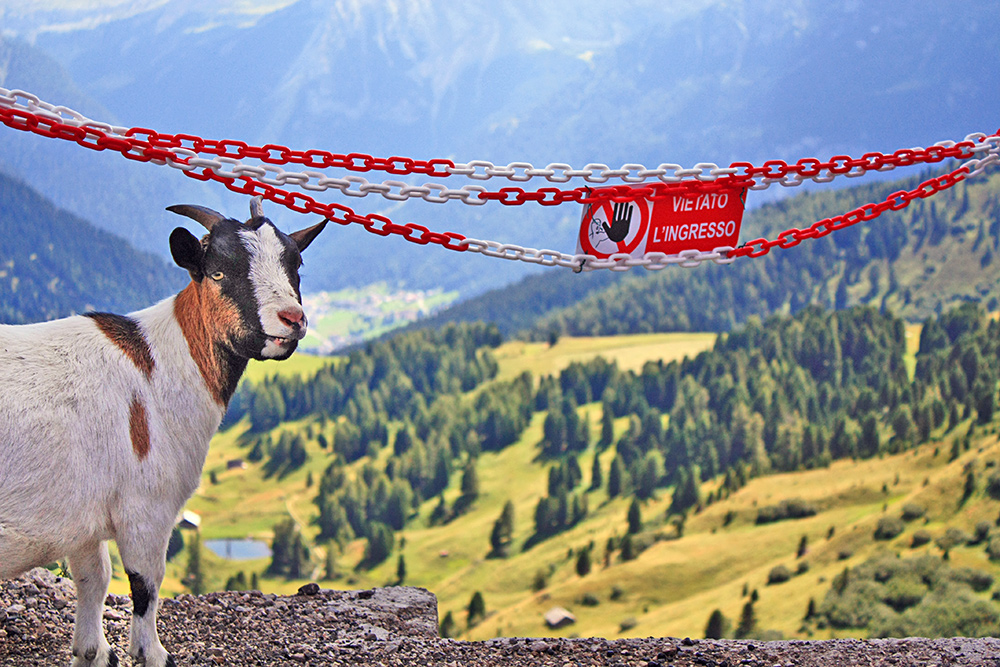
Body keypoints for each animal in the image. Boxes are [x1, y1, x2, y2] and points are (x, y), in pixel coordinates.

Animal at [0, 198, 324, 667]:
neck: (158, 366)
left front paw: (91, 651)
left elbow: (94, 580)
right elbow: (145, 584)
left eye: (295, 264)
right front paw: (151, 651)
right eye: (218, 272)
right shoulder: (146, 507)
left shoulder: (82, 517)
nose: (291, 319)